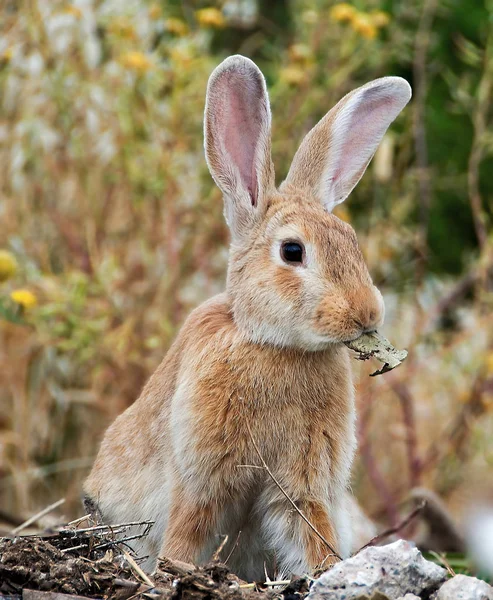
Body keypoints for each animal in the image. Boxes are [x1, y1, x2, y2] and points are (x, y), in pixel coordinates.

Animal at [82, 54, 410, 580]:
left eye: (351, 240)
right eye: (292, 251)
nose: (366, 313)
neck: (273, 344)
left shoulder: (302, 484)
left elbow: (311, 531)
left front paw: (328, 572)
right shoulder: (202, 478)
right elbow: (188, 531)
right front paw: (172, 572)